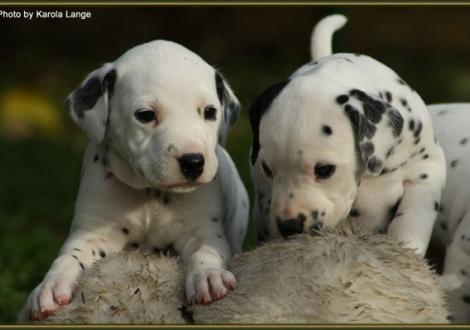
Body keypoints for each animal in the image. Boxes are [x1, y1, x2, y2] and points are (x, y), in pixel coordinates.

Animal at [19, 39, 250, 322]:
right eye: (145, 115)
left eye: (209, 112)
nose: (194, 162)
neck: (150, 192)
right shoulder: (92, 235)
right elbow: (68, 257)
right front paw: (50, 286)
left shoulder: (203, 230)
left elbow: (205, 250)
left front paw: (209, 276)